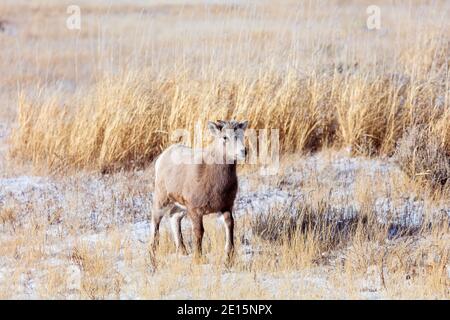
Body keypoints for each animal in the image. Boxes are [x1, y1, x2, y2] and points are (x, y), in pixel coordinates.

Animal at [151, 120, 250, 260]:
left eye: (242, 135)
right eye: (224, 137)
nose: (243, 151)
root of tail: (163, 156)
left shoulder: (226, 206)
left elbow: (230, 224)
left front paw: (229, 254)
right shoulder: (195, 210)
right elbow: (199, 231)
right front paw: (198, 257)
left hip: (181, 206)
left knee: (174, 217)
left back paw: (183, 251)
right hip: (162, 199)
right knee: (156, 220)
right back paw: (153, 251)